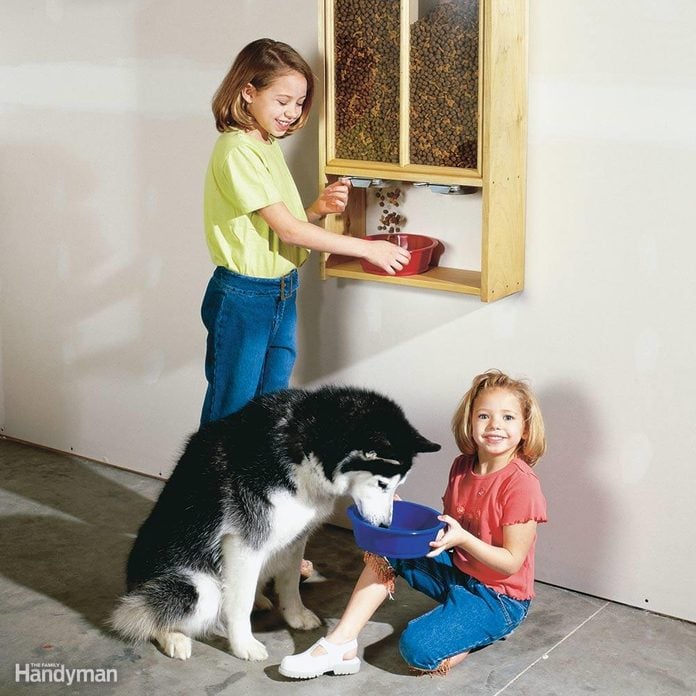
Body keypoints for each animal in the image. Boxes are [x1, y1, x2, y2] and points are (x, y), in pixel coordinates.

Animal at [111, 386, 438, 664]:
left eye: (398, 486)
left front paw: (295, 616)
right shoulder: (244, 544)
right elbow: (238, 603)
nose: (385, 525)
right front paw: (243, 645)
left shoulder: (296, 537)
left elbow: (290, 583)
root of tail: (131, 581)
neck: (305, 450)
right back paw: (173, 637)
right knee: (142, 614)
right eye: (382, 484)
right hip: (199, 587)